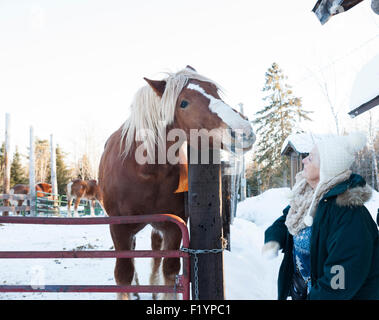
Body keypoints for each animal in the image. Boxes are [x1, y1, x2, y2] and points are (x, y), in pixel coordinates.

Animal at [99, 66, 256, 302]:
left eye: (215, 91)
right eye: (183, 103)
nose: (243, 130)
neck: (145, 170)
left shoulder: (173, 226)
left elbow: (170, 269)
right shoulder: (119, 228)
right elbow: (123, 274)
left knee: (155, 252)